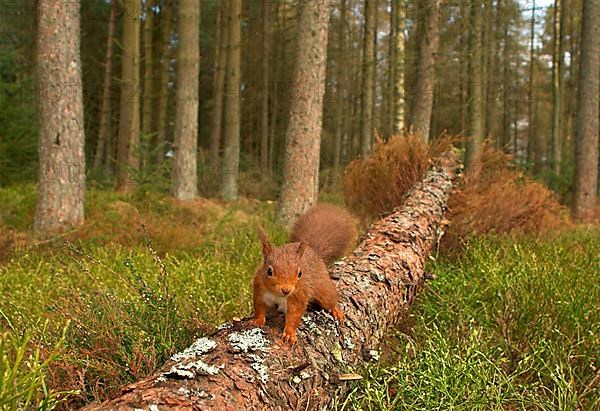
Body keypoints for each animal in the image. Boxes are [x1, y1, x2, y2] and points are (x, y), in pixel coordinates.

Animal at [248, 205, 356, 344]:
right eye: (269, 271)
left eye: (300, 273)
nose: (286, 290)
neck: (277, 295)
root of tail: (314, 252)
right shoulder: (259, 289)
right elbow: (259, 307)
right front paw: (257, 320)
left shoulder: (298, 295)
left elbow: (294, 316)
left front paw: (289, 333)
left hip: (323, 288)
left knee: (329, 299)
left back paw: (335, 310)